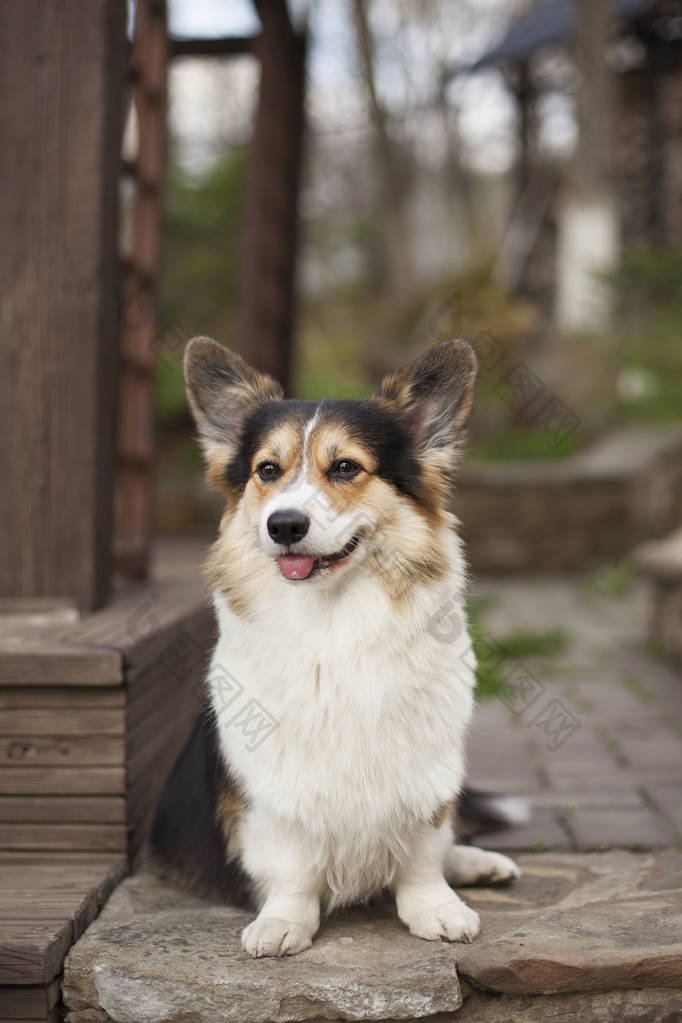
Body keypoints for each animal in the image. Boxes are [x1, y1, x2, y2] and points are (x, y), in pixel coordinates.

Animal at [152, 335, 519, 957]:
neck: (335, 620)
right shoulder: (271, 791)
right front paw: (283, 921)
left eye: (345, 467)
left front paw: (435, 908)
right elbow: (293, 864)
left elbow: (423, 850)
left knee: (450, 839)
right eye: (267, 470)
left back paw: (478, 864)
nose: (284, 525)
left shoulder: (426, 772)